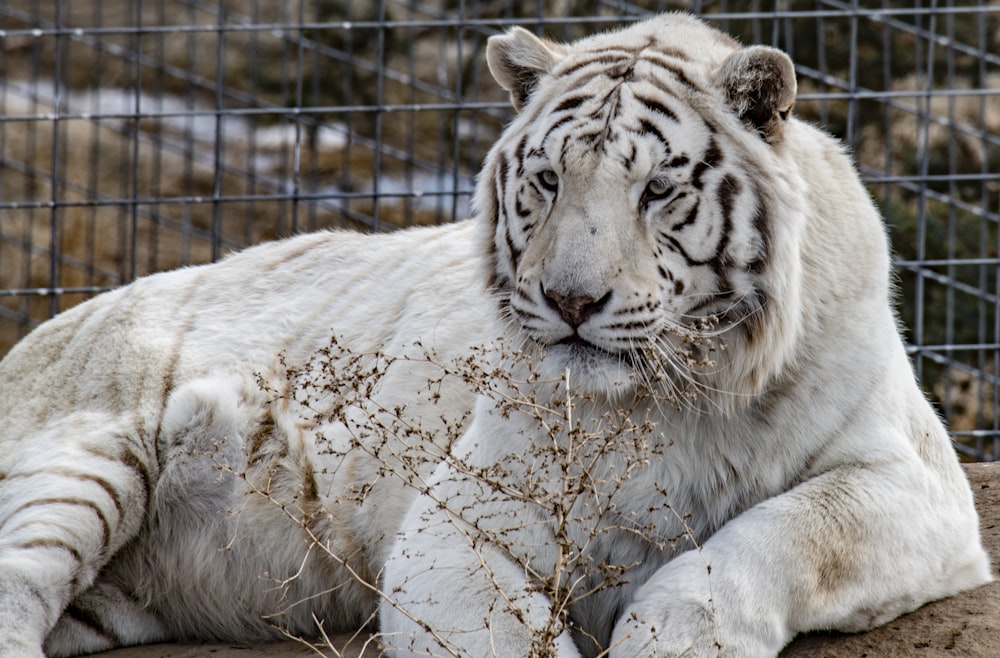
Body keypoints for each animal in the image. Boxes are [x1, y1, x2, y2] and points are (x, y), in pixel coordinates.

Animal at [0, 14, 988, 656]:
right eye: (549, 180)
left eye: (658, 189)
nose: (571, 299)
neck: (677, 398)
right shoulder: (456, 522)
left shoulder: (914, 483)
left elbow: (780, 538)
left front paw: (670, 636)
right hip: (83, 458)